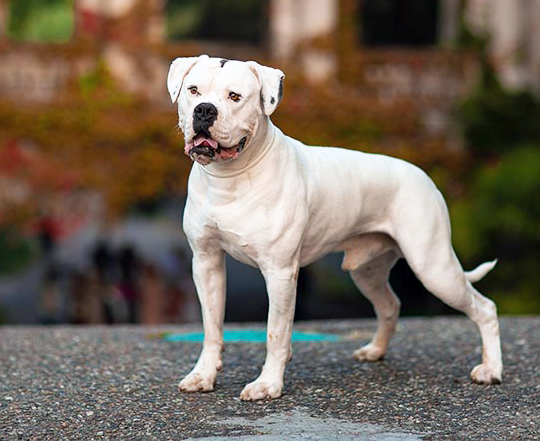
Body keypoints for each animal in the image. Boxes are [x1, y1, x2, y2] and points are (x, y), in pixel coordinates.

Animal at [167, 54, 504, 398]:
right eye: (193, 90)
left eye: (234, 96)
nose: (204, 110)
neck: (229, 179)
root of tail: (425, 177)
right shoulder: (206, 264)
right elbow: (212, 327)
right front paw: (203, 375)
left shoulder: (280, 272)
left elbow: (276, 333)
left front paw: (268, 384)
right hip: (367, 272)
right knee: (390, 305)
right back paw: (375, 350)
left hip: (434, 268)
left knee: (485, 308)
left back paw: (490, 370)